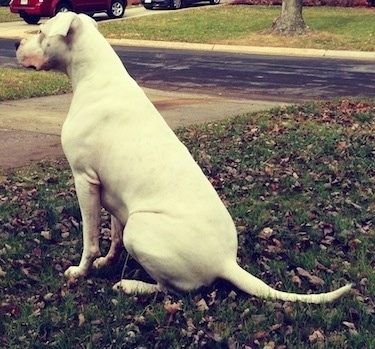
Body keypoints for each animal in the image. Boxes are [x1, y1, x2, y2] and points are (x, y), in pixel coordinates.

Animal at [16, 12, 352, 304]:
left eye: (41, 32)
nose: (16, 43)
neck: (94, 76)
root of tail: (225, 262)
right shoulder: (106, 188)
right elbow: (113, 235)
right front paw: (107, 262)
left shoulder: (84, 179)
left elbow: (90, 239)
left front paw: (81, 271)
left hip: (140, 226)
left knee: (173, 290)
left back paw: (132, 285)